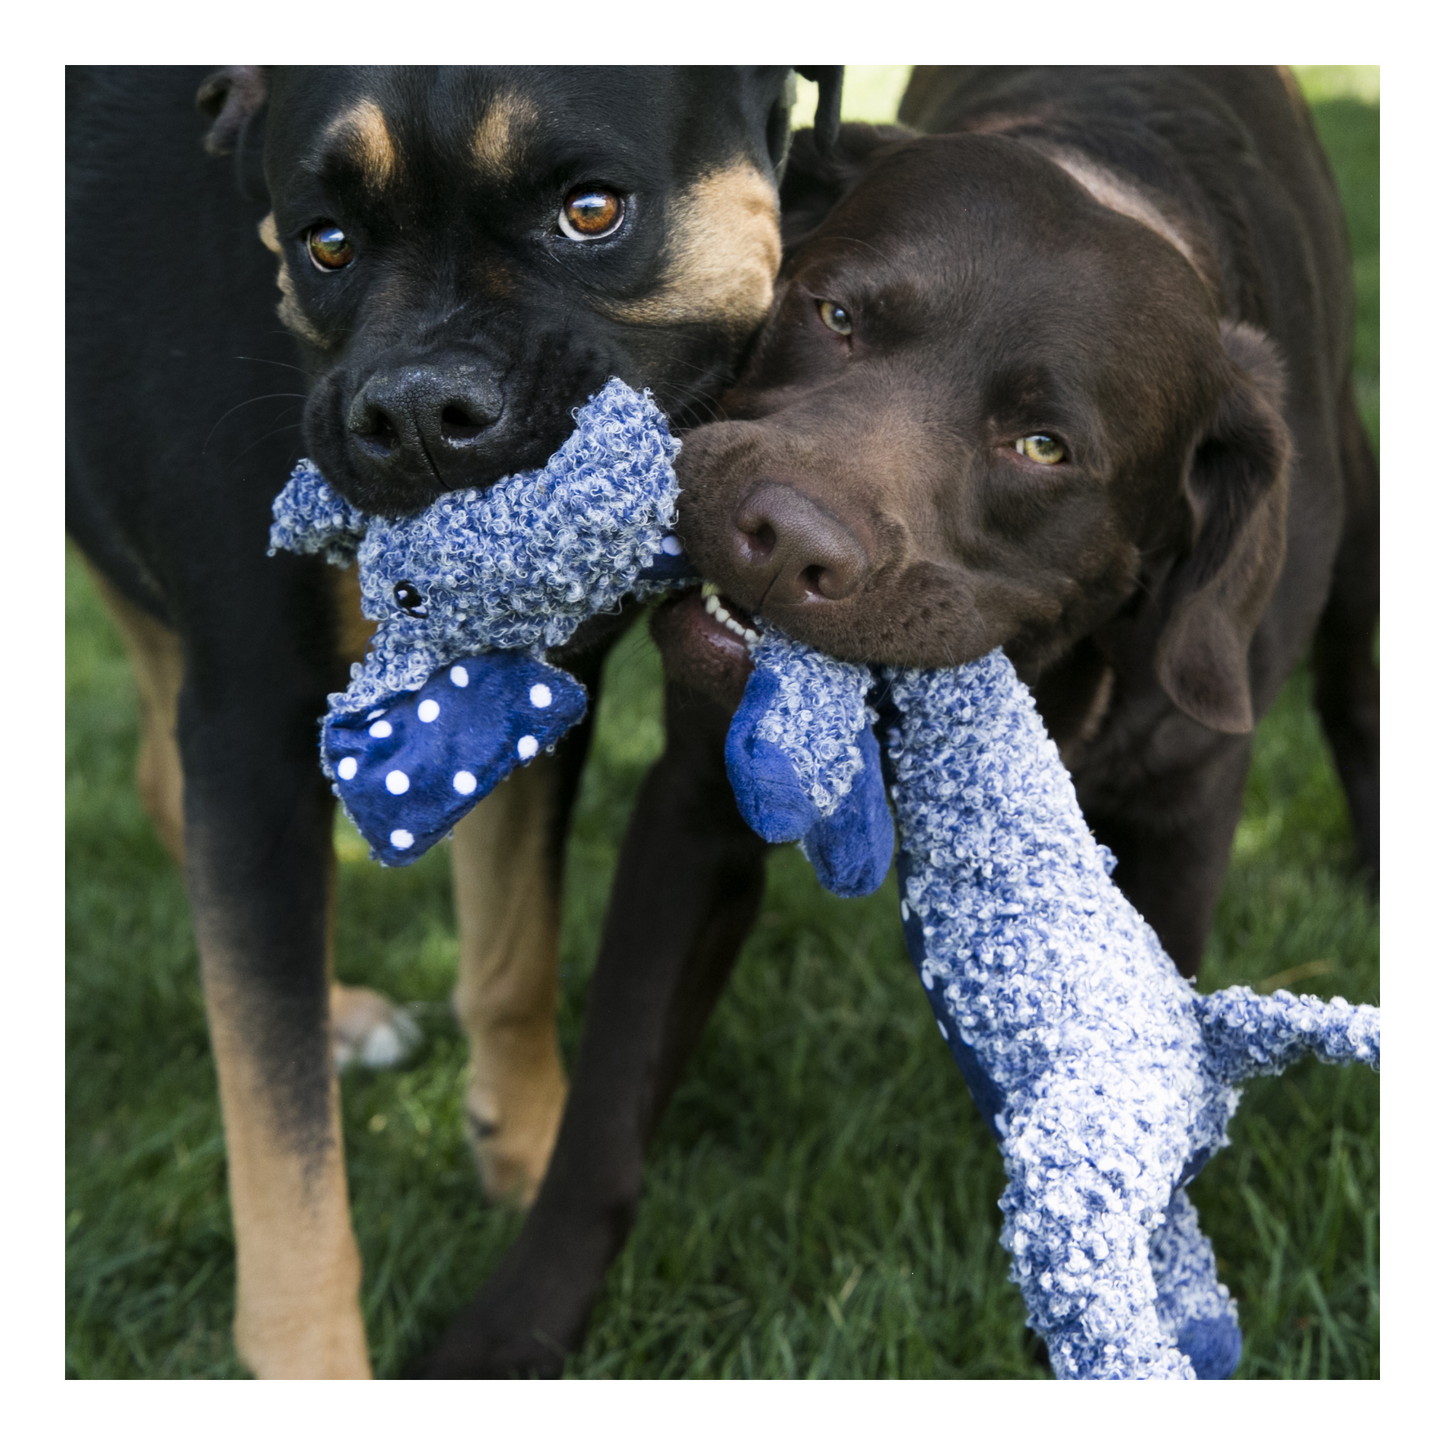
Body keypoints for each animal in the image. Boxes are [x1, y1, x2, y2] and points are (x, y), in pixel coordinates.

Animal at [62, 65, 843, 1375]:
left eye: (591, 210)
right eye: (325, 242)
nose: (418, 412)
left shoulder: (519, 687)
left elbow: (511, 952)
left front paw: (524, 1155)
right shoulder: (252, 727)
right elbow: (278, 1128)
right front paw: (311, 1362)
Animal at [436, 67, 1375, 1375]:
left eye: (1041, 446)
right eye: (834, 312)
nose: (784, 536)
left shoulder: (1183, 826)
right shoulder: (692, 809)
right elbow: (604, 1122)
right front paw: (512, 1328)